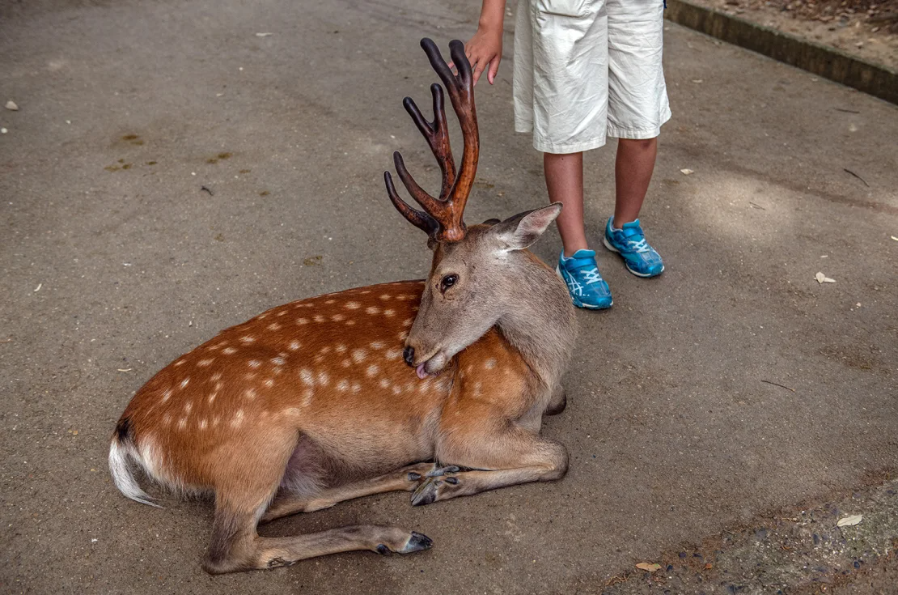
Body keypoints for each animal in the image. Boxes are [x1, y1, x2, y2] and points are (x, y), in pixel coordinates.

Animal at [110, 38, 576, 576]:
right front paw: (450, 482)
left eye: (447, 278)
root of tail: (130, 428)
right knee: (229, 549)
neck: (541, 368)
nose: (410, 353)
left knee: (285, 504)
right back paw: (398, 530)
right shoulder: (464, 421)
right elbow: (559, 456)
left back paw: (414, 475)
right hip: (255, 442)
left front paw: (442, 480)